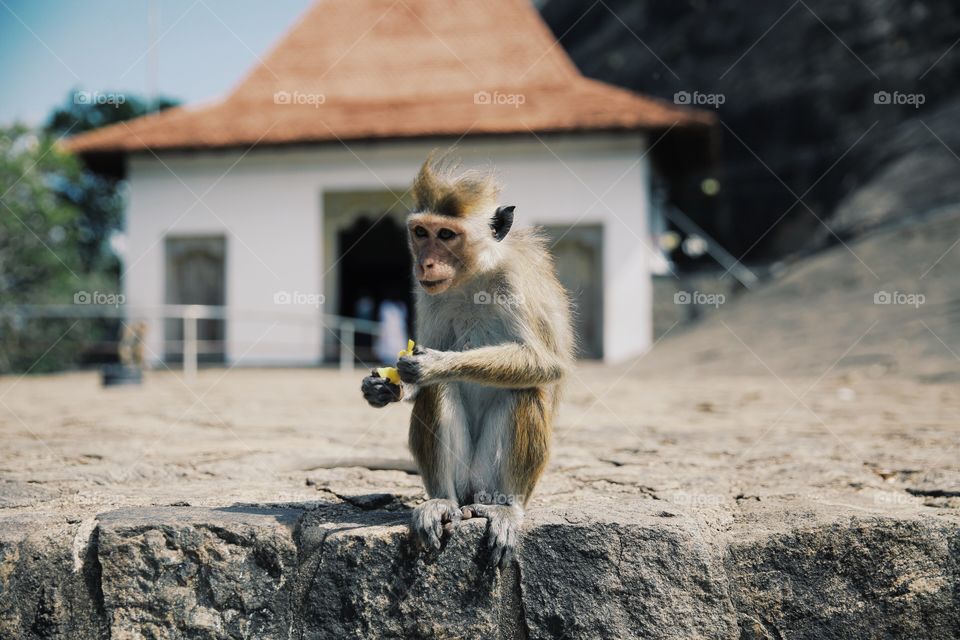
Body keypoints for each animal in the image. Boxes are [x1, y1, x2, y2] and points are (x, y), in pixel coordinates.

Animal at [360, 154, 573, 568]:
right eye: (421, 233)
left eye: (446, 235)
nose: (425, 264)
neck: (474, 276)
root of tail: (474, 494)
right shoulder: (427, 294)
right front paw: (381, 388)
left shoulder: (514, 282)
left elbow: (547, 363)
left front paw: (436, 364)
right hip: (465, 480)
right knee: (437, 395)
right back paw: (442, 503)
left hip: (490, 478)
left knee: (525, 389)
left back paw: (506, 508)